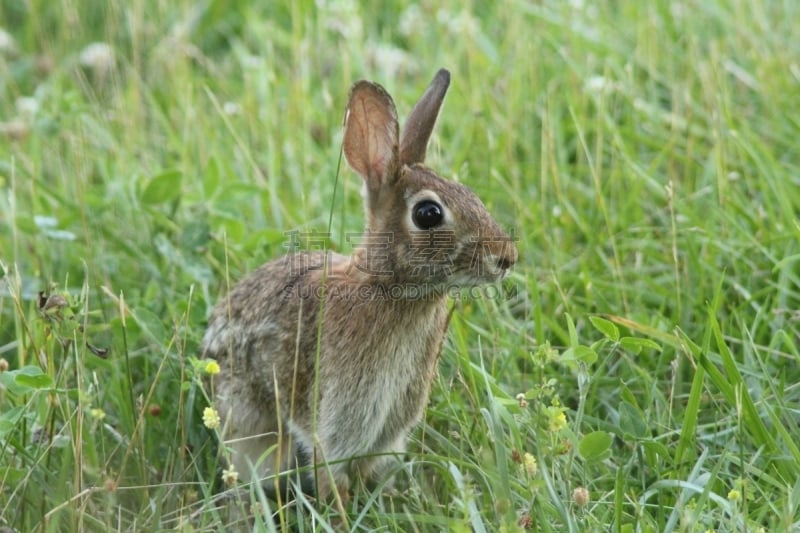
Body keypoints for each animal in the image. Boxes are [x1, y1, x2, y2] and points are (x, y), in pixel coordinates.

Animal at [202, 68, 520, 500]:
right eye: (428, 213)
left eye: (470, 194)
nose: (507, 258)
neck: (387, 287)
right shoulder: (336, 421)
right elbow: (330, 475)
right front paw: (339, 510)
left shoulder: (388, 428)